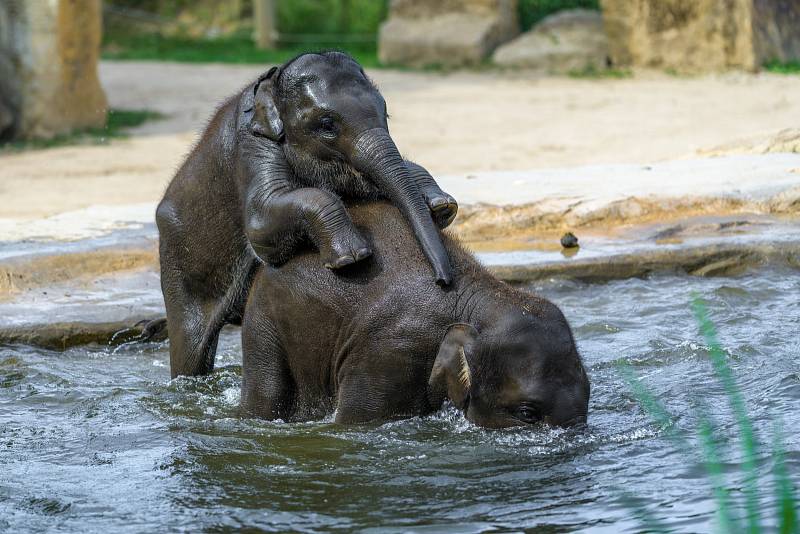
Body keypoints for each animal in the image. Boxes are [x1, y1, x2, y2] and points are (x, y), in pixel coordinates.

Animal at [241, 203, 592, 430]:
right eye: (527, 413)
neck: (479, 301)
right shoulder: (388, 354)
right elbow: (354, 423)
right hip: (263, 321)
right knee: (267, 391)